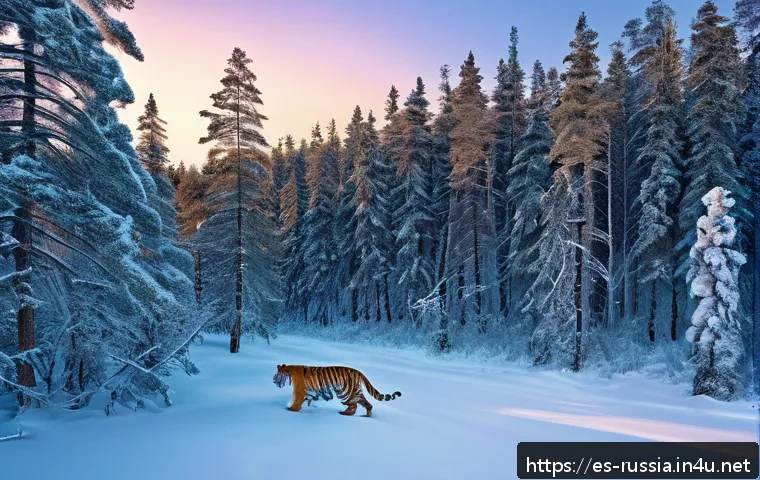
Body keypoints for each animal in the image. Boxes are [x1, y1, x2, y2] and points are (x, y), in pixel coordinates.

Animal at [272, 364, 401, 417]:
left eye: (277, 374)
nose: (273, 380)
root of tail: (358, 372)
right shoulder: (310, 392)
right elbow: (308, 400)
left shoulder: (299, 390)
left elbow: (297, 401)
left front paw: (291, 409)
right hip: (354, 391)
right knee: (364, 403)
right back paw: (367, 414)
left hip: (346, 393)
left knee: (354, 404)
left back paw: (345, 413)